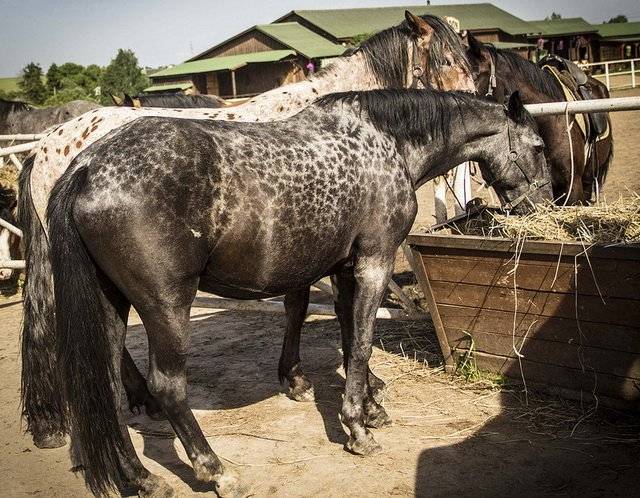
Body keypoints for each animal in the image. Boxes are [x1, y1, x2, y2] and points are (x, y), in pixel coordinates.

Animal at [20, 10, 476, 452]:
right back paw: (142, 401)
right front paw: (343, 385)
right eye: (447, 61)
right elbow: (323, 310)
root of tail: (48, 149)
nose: (475, 101)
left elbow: (302, 305)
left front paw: (303, 378)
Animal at [47, 87, 552, 496]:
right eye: (539, 146)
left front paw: (367, 407)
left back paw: (142, 479)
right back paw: (218, 472)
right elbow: (362, 341)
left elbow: (348, 334)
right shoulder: (375, 262)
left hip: (112, 303)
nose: (547, 207)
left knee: (109, 387)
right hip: (166, 305)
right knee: (168, 388)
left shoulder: (346, 267)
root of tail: (87, 167)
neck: (386, 142)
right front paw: (358, 429)